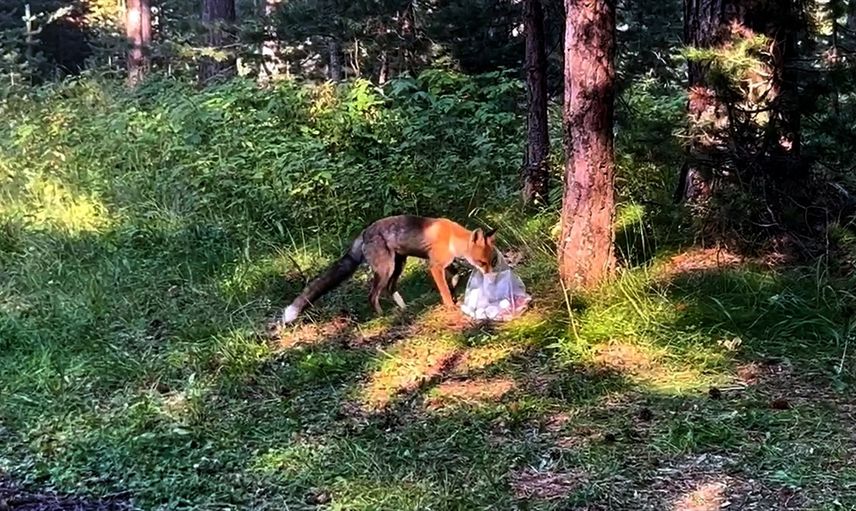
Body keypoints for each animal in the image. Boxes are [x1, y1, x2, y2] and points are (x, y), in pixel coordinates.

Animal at [280, 214, 498, 324]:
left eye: (492, 261)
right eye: (482, 262)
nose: (490, 278)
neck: (452, 238)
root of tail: (364, 232)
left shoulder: (444, 263)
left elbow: (455, 275)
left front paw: (453, 288)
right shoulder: (434, 266)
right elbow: (444, 288)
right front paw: (450, 304)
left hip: (398, 264)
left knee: (389, 289)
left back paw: (403, 309)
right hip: (386, 268)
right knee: (373, 295)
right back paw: (381, 316)